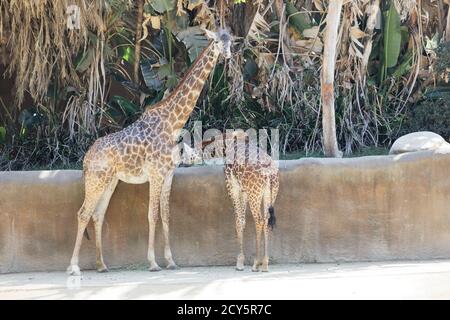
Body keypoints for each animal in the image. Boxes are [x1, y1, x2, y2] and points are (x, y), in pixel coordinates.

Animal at [67, 28, 232, 276]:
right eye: (217, 42)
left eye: (231, 42)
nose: (229, 56)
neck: (172, 123)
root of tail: (86, 158)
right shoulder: (155, 174)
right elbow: (152, 215)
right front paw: (153, 263)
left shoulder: (168, 174)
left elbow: (166, 215)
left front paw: (171, 261)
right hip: (96, 179)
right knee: (83, 213)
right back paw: (74, 267)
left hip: (110, 181)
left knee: (97, 214)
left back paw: (102, 265)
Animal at [201, 131, 278, 272]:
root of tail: (270, 173)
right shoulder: (244, 191)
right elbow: (242, 220)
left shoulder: (233, 187)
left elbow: (239, 221)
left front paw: (239, 263)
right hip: (269, 194)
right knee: (266, 221)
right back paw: (265, 264)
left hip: (255, 194)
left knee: (259, 220)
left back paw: (256, 264)